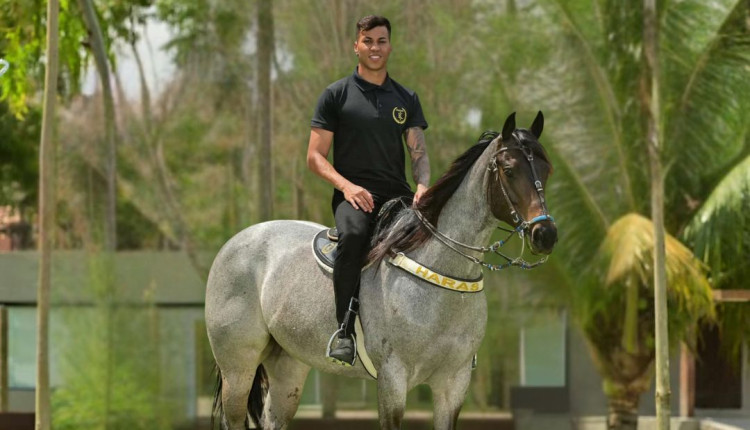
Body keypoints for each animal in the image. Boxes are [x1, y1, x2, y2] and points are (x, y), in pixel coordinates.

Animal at [205, 111, 557, 430]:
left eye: (547, 168)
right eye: (509, 170)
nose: (546, 234)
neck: (441, 275)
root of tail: (235, 242)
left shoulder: (453, 384)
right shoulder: (392, 379)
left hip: (288, 367)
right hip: (238, 368)